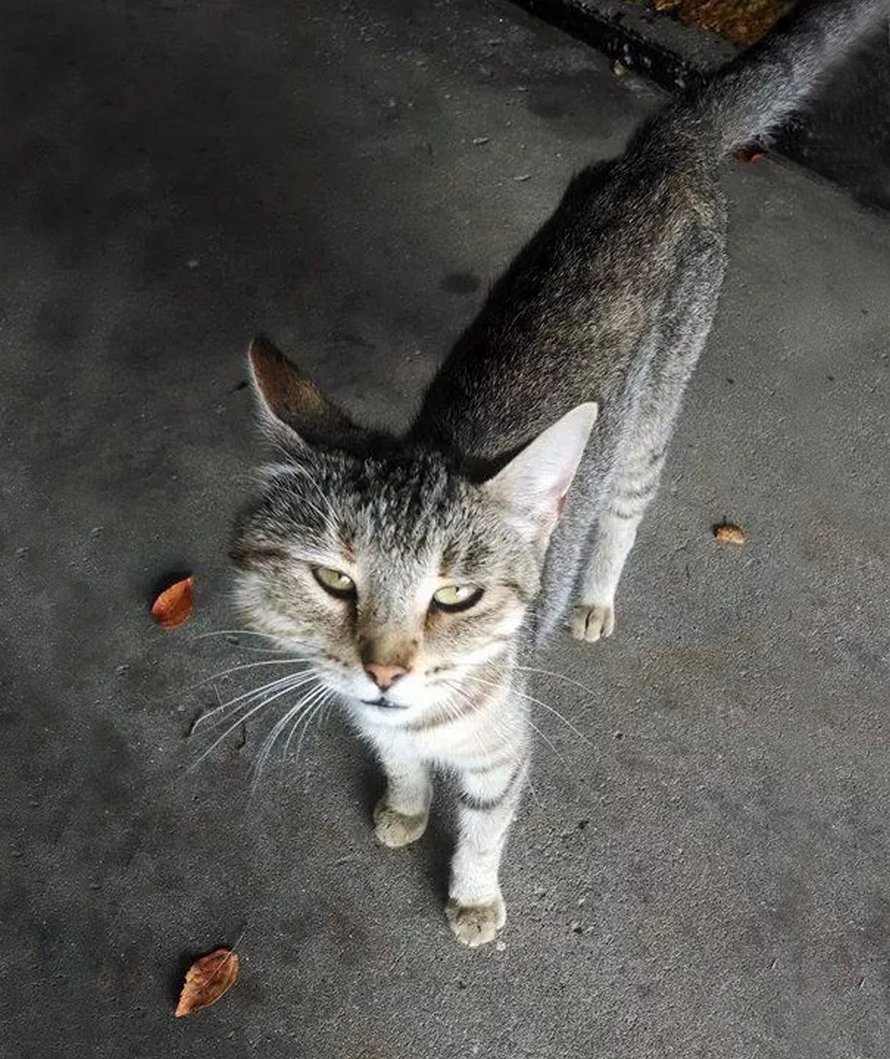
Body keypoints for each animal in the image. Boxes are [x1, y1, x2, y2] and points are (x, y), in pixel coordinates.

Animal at [229, 0, 881, 944]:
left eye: (455, 595)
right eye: (333, 580)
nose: (385, 672)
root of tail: (663, 147)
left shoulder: (503, 750)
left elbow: (482, 828)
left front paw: (472, 896)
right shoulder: (366, 711)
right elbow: (399, 761)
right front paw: (404, 802)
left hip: (646, 428)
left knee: (622, 512)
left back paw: (596, 596)